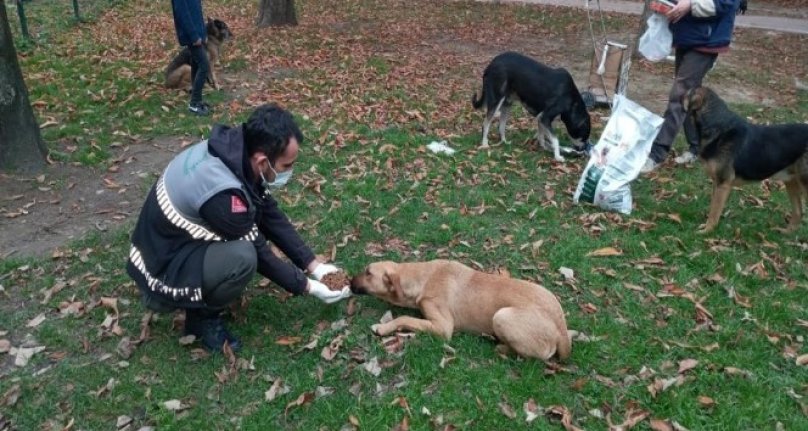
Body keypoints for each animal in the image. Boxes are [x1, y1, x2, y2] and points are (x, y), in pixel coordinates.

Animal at [350, 260, 572, 362]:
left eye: (368, 273)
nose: (349, 282)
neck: (423, 277)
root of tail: (561, 330)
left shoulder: (443, 328)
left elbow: (404, 317)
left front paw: (383, 327)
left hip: (501, 316)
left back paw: (501, 347)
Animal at [680, 85, 808, 233]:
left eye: (688, 92)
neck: (718, 126)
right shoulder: (717, 183)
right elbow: (713, 207)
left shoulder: (723, 184)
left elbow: (714, 212)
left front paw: (707, 231)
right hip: (791, 181)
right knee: (798, 212)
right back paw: (786, 232)